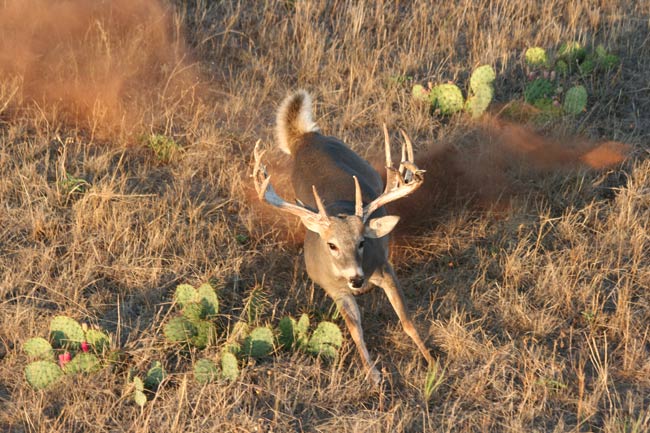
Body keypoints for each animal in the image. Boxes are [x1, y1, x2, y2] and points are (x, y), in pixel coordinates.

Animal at [252, 90, 435, 384]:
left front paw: (432, 362)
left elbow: (406, 320)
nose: (356, 278)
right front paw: (374, 376)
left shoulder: (384, 269)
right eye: (331, 245)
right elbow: (354, 329)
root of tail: (305, 137)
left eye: (362, 242)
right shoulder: (334, 289)